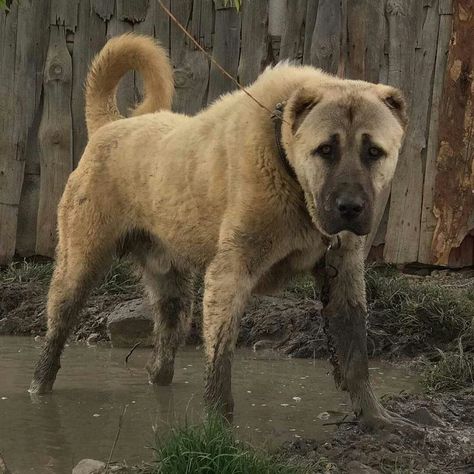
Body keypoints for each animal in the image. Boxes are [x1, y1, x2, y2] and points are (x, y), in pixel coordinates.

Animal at [30, 35, 412, 432]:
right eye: (325, 149)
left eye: (374, 151)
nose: (349, 207)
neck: (284, 159)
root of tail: (110, 126)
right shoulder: (229, 275)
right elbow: (220, 362)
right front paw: (217, 425)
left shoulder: (344, 277)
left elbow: (355, 357)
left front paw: (375, 417)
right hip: (78, 268)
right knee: (55, 335)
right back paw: (39, 388)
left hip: (173, 293)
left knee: (164, 348)